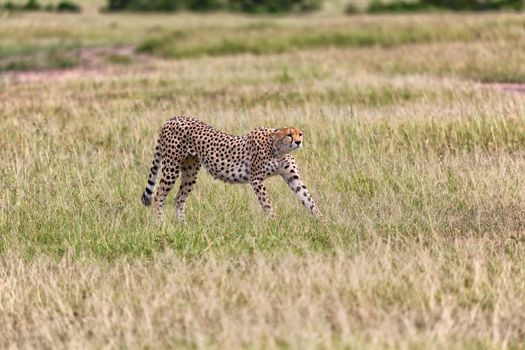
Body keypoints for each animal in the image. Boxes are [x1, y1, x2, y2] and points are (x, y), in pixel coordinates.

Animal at [140, 117, 320, 221]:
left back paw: (183, 227)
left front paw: (322, 221)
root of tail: (172, 118)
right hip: (171, 167)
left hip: (190, 172)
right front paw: (274, 221)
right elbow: (267, 202)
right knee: (159, 196)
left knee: (178, 199)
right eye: (289, 135)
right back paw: (161, 224)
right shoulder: (256, 179)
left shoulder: (293, 177)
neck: (278, 149)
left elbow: (308, 198)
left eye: (300, 134)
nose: (298, 142)